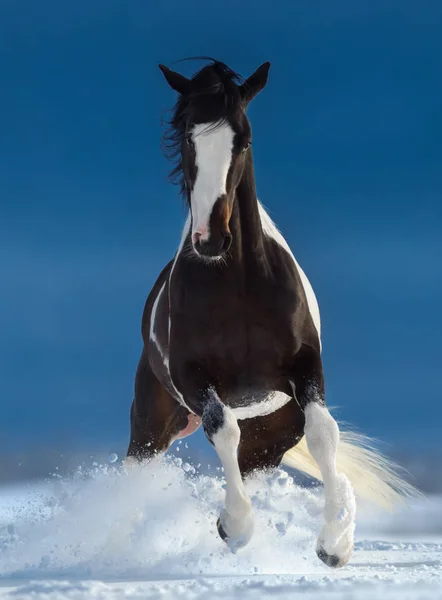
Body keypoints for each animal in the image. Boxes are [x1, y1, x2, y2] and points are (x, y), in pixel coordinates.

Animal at [125, 58, 418, 564]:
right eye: (188, 137)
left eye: (243, 139)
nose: (211, 239)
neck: (240, 288)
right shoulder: (193, 378)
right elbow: (222, 428)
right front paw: (236, 528)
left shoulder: (305, 369)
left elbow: (325, 433)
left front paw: (334, 543)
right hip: (153, 422)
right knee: (137, 470)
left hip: (272, 435)